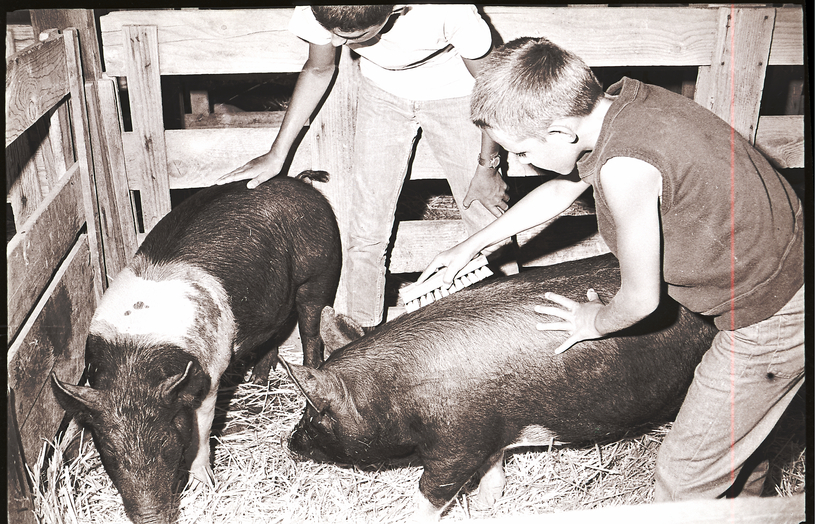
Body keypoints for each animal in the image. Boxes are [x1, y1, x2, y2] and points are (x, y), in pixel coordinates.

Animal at [51, 171, 341, 524]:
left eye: (166, 446)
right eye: (109, 453)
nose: (152, 518)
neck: (136, 358)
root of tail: (299, 182)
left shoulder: (210, 374)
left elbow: (201, 434)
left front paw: (206, 484)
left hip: (320, 272)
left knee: (310, 328)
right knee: (277, 329)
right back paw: (258, 380)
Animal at [282, 253, 718, 521]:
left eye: (313, 414)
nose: (290, 442)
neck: (392, 394)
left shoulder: (455, 446)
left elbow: (431, 490)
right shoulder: (489, 429)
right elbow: (493, 462)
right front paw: (488, 502)